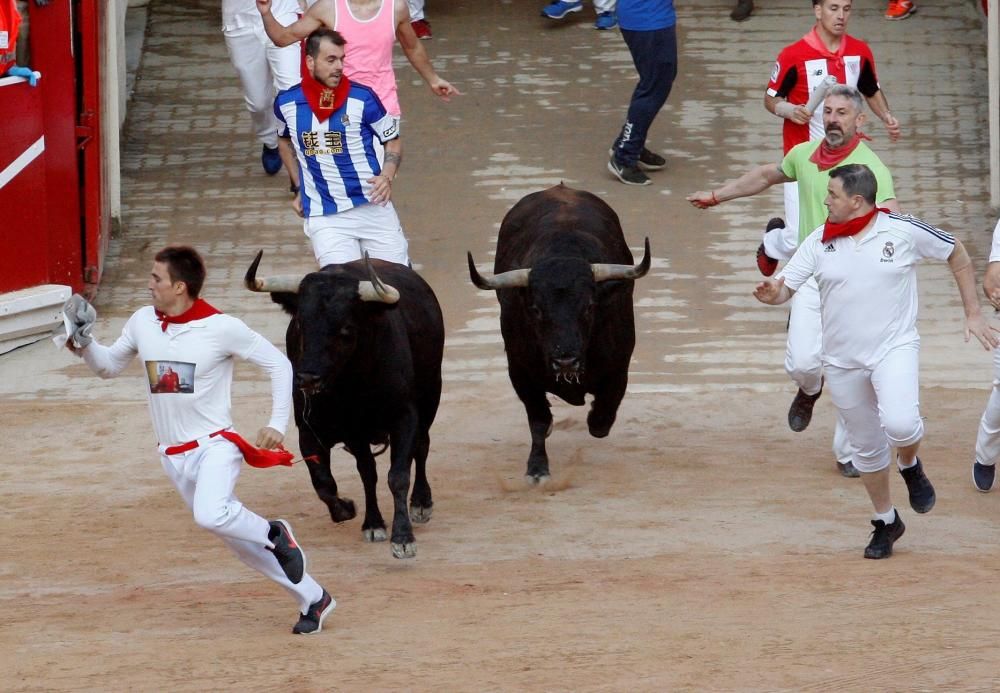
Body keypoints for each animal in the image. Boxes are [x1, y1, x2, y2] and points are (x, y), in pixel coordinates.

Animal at [244, 251, 444, 560]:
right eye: (300, 324)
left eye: (346, 330)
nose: (307, 377)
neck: (349, 388)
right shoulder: (317, 430)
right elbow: (328, 482)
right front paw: (355, 513)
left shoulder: (405, 417)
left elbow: (398, 475)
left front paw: (403, 536)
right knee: (367, 472)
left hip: (431, 394)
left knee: (421, 447)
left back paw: (421, 502)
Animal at [466, 184, 648, 482]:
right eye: (536, 309)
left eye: (589, 306)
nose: (565, 361)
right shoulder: (520, 372)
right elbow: (539, 420)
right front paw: (537, 468)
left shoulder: (619, 368)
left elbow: (602, 420)